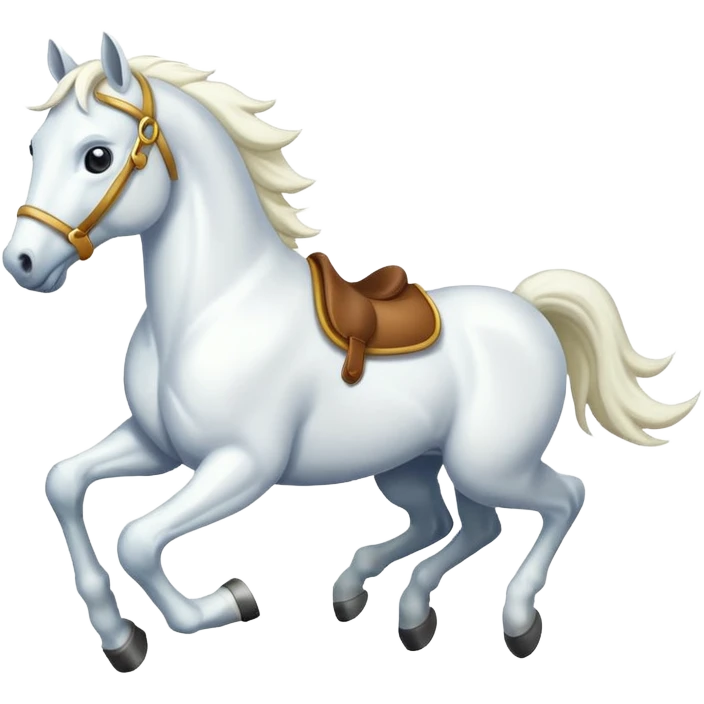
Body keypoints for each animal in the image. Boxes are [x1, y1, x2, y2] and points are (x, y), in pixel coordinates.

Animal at [3, 32, 699, 673]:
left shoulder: (241, 465)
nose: (23, 263)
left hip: (489, 464)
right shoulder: (158, 446)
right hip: (415, 463)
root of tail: (529, 310)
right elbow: (63, 482)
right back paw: (391, 605)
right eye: (34, 146)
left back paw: (518, 621)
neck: (216, 305)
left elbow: (138, 539)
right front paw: (119, 637)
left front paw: (225, 602)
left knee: (562, 498)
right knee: (462, 525)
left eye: (97, 156)